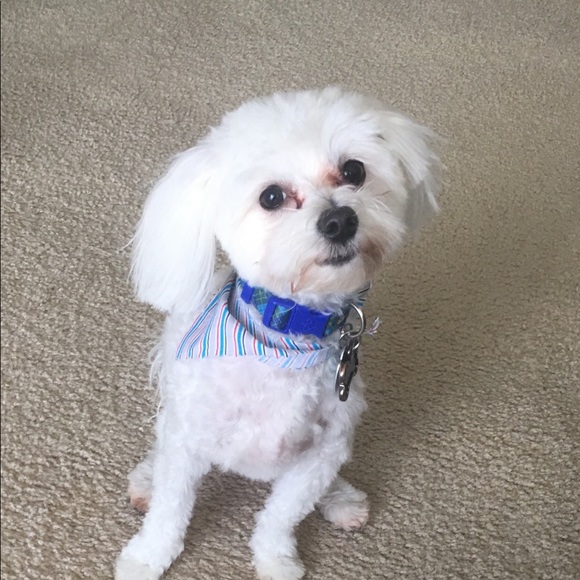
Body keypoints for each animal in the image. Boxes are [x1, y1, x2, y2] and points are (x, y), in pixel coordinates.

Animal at [115, 87, 441, 580]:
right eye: (271, 196)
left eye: (353, 171)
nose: (339, 220)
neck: (285, 336)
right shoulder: (187, 442)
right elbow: (170, 511)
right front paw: (146, 558)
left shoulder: (320, 455)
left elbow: (280, 517)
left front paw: (276, 560)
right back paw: (146, 481)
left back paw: (340, 498)